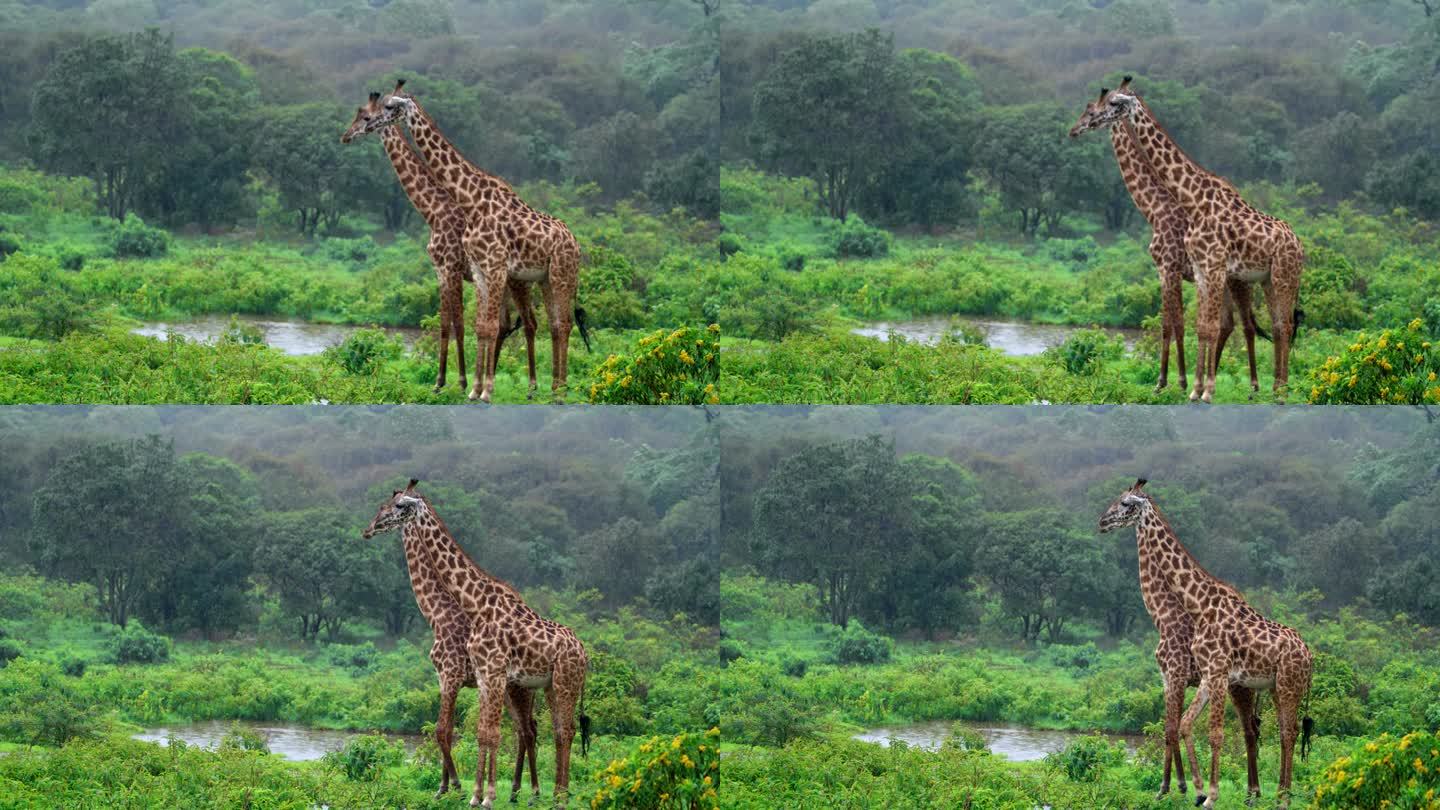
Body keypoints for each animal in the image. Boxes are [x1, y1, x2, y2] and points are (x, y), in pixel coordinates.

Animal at [354, 80, 590, 400]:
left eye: (387, 107)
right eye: (367, 113)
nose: (351, 133)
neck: (468, 202)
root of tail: (576, 243)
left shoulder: (476, 267)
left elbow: (468, 324)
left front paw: (470, 386)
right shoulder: (474, 271)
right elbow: (477, 326)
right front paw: (474, 388)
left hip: (556, 276)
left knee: (557, 323)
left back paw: (554, 389)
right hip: (544, 279)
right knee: (551, 324)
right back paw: (552, 385)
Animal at [365, 475, 590, 801]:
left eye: (394, 506)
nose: (367, 529)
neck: (439, 614)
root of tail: (584, 651)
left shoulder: (458, 674)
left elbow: (450, 731)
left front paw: (464, 790)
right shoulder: (471, 678)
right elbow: (471, 732)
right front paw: (459, 790)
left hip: (555, 683)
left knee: (556, 730)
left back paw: (548, 793)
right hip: (542, 686)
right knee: (542, 729)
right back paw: (533, 791)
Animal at [1082, 77, 1307, 397]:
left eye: (1112, 103)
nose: (1078, 127)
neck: (1191, 200)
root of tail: (1299, 244)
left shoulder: (1186, 268)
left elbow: (1187, 325)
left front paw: (1188, 386)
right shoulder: (1200, 271)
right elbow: (1200, 326)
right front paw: (1196, 388)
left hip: (1278, 277)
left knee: (1276, 325)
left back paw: (1275, 388)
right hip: (1265, 279)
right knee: (1274, 324)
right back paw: (1275, 386)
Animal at [1100, 475, 1319, 801]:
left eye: (1125, 503)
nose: (1102, 522)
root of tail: (1309, 654)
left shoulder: (1191, 673)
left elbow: (1200, 732)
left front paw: (1186, 790)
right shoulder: (1185, 677)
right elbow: (1179, 726)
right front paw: (1187, 788)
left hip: (1283, 684)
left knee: (1283, 731)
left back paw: (1279, 794)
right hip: (1271, 687)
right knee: (1268, 730)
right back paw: (1260, 792)